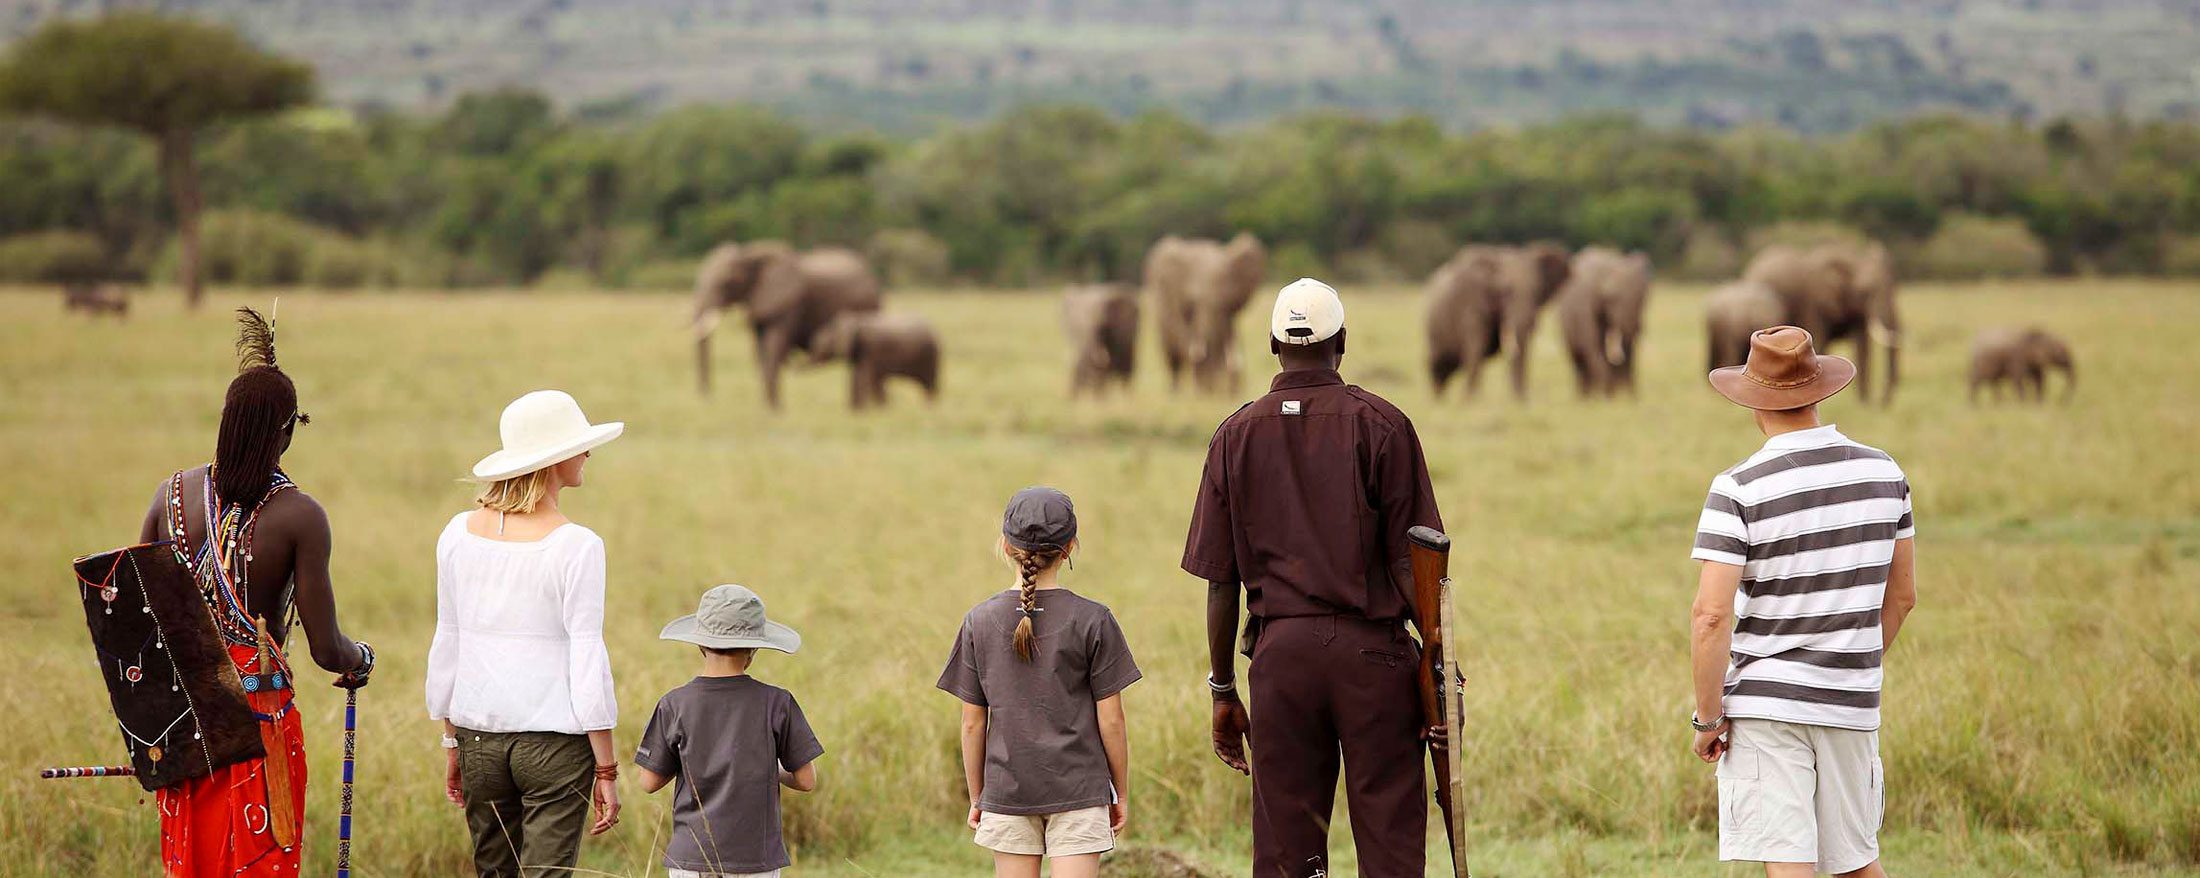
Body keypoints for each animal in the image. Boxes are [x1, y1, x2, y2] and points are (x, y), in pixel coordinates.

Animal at [695, 238, 884, 407]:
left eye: (727, 282)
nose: (709, 400)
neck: (750, 254)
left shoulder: (788, 305)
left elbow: (773, 347)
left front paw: (775, 410)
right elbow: (760, 351)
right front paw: (766, 409)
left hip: (867, 307)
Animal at [1425, 244, 1584, 402]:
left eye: (1535, 291)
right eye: (1506, 291)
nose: (1523, 401)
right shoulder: (1471, 303)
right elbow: (1477, 347)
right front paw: (1471, 401)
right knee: (1437, 366)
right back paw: (1439, 401)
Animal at [1548, 247, 1654, 398]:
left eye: (1645, 298)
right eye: (1613, 298)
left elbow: (1629, 348)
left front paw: (1629, 398)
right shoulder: (1587, 307)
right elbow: (1595, 344)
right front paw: (1608, 396)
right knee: (1577, 358)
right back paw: (1585, 397)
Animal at [1742, 240, 1900, 404]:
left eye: (1894, 284)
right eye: (1866, 292)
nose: (1881, 404)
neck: (1852, 258)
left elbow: (1862, 347)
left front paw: (1863, 404)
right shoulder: (1814, 303)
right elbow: (1819, 340)